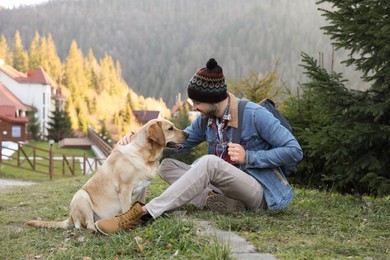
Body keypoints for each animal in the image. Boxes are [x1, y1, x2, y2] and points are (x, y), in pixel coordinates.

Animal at [25, 119, 187, 231]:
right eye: (170, 128)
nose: (188, 134)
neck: (143, 155)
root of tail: (70, 217)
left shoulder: (143, 189)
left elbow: (140, 206)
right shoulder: (125, 189)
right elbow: (127, 209)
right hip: (81, 196)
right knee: (86, 225)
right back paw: (94, 228)